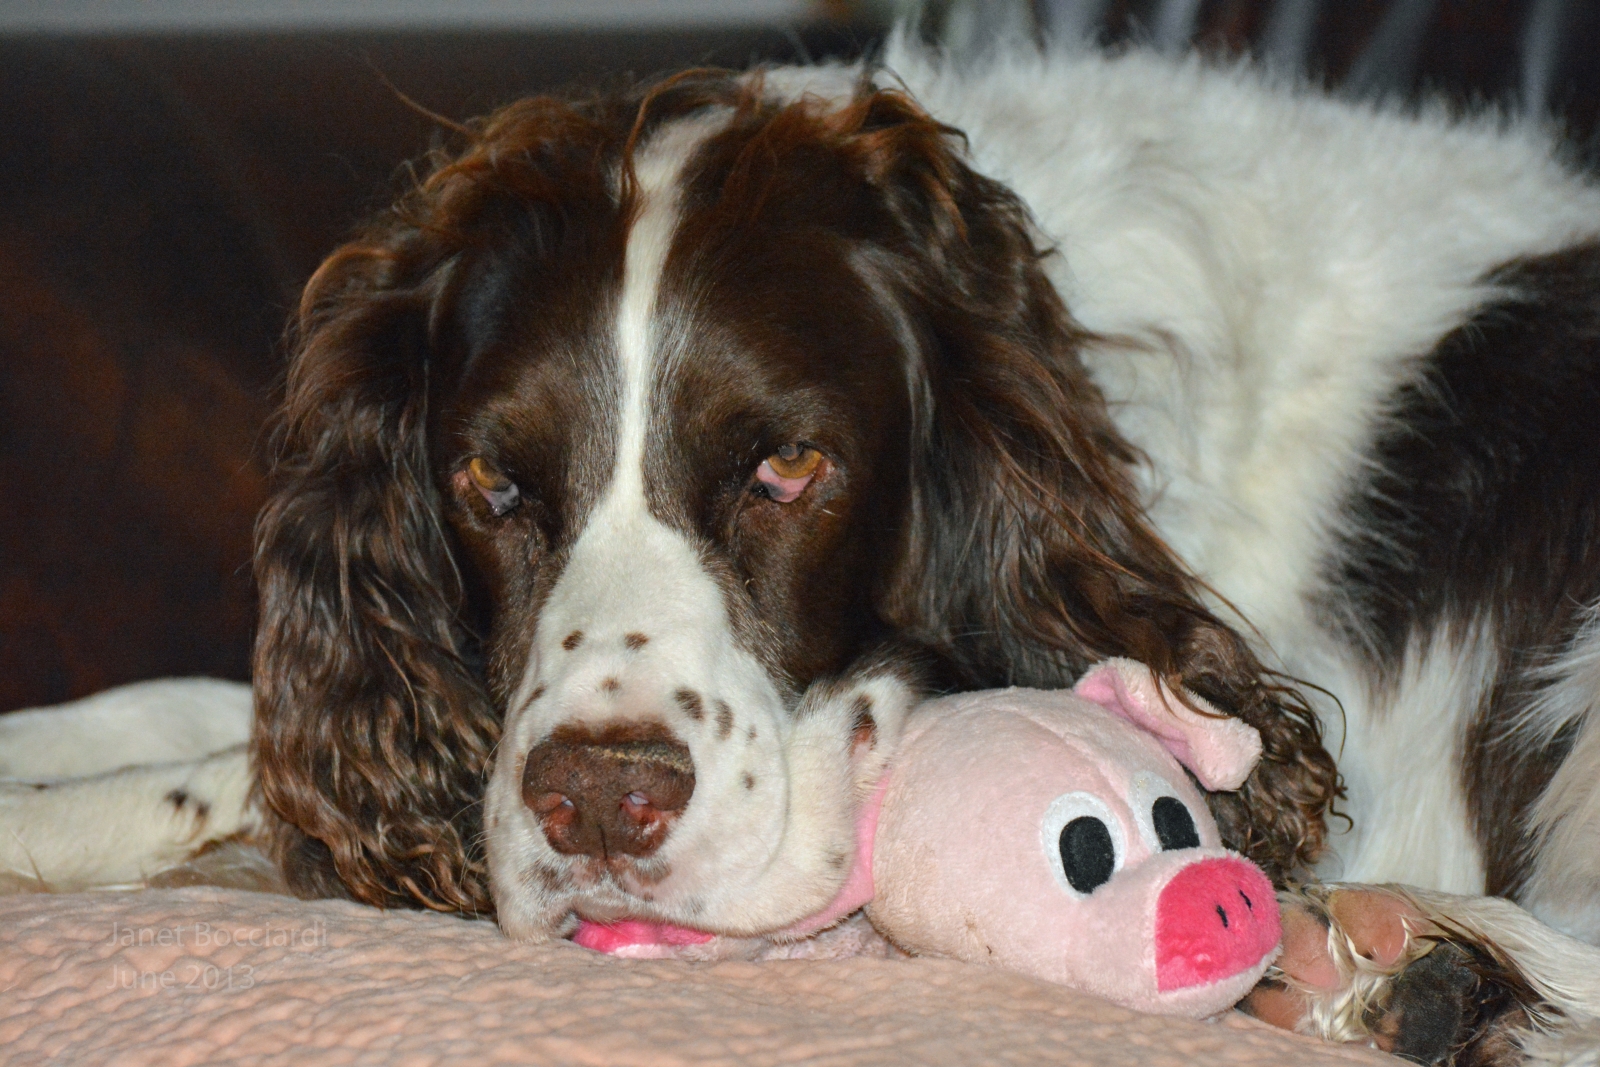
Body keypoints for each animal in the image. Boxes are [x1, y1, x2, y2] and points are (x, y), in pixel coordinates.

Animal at [3, 37, 1600, 1062]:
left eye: (787, 464)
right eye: (492, 482)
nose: (598, 807)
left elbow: (217, 770)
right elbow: (214, 718)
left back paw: (1410, 965)